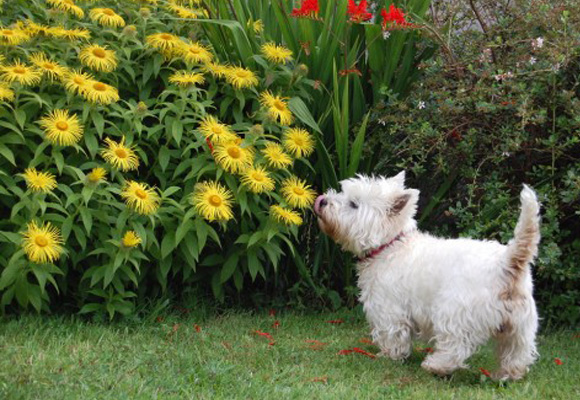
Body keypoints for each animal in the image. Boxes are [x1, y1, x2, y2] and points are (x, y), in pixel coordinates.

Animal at [314, 171, 540, 378]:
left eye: (354, 204)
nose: (322, 201)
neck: (390, 245)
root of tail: (507, 263)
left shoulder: (388, 307)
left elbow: (392, 334)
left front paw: (388, 355)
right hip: (519, 326)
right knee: (516, 353)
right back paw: (505, 374)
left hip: (455, 313)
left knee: (456, 347)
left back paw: (435, 365)